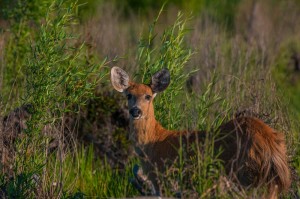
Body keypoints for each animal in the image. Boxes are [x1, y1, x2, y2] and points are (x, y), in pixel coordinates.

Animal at [110, 66, 290, 197]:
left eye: (148, 96)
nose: (136, 111)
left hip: (244, 174)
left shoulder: (161, 178)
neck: (153, 142)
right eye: (129, 95)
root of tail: (270, 147)